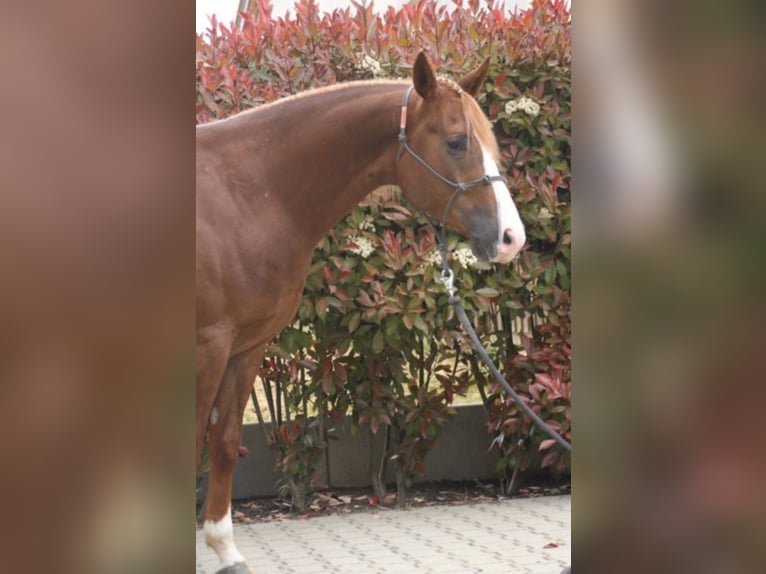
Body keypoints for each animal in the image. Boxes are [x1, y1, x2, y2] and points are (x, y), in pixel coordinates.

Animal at [196, 52, 525, 573]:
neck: (244, 197)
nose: (513, 238)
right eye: (456, 141)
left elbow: (225, 442)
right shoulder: (206, 347)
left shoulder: (245, 347)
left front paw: (226, 549)